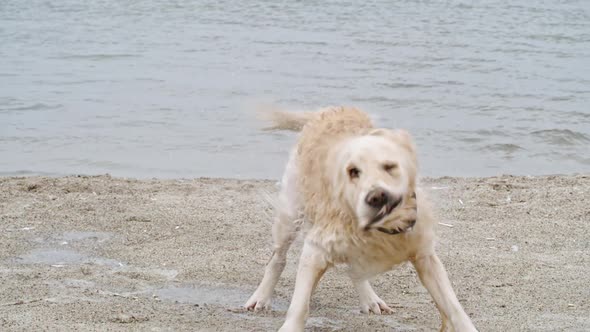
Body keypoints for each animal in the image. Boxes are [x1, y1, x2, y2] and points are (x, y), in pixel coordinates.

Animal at [246, 107, 480, 332]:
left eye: (389, 166)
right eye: (353, 172)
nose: (376, 196)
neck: (379, 230)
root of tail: (329, 109)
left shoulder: (426, 257)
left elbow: (454, 306)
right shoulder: (315, 249)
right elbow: (299, 305)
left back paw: (370, 299)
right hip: (290, 214)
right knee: (277, 258)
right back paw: (261, 297)